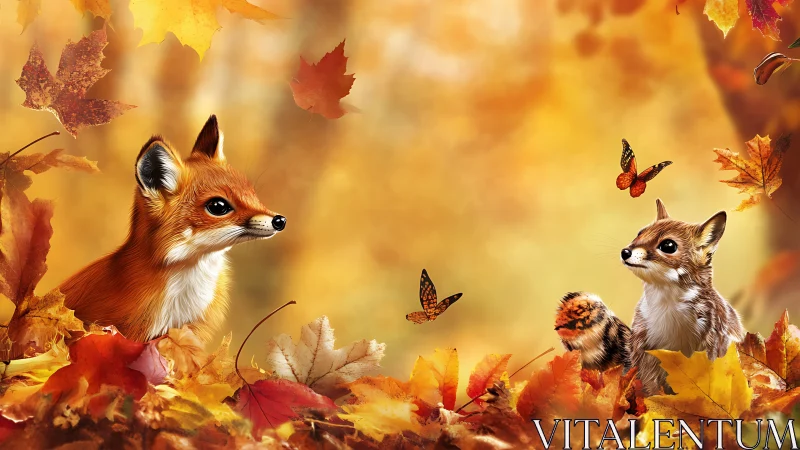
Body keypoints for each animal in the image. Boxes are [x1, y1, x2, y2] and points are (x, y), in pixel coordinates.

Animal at [621, 199, 744, 395]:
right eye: (640, 233)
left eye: (668, 245)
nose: (625, 252)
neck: (666, 305)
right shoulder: (644, 352)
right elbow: (650, 387)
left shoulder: (711, 347)